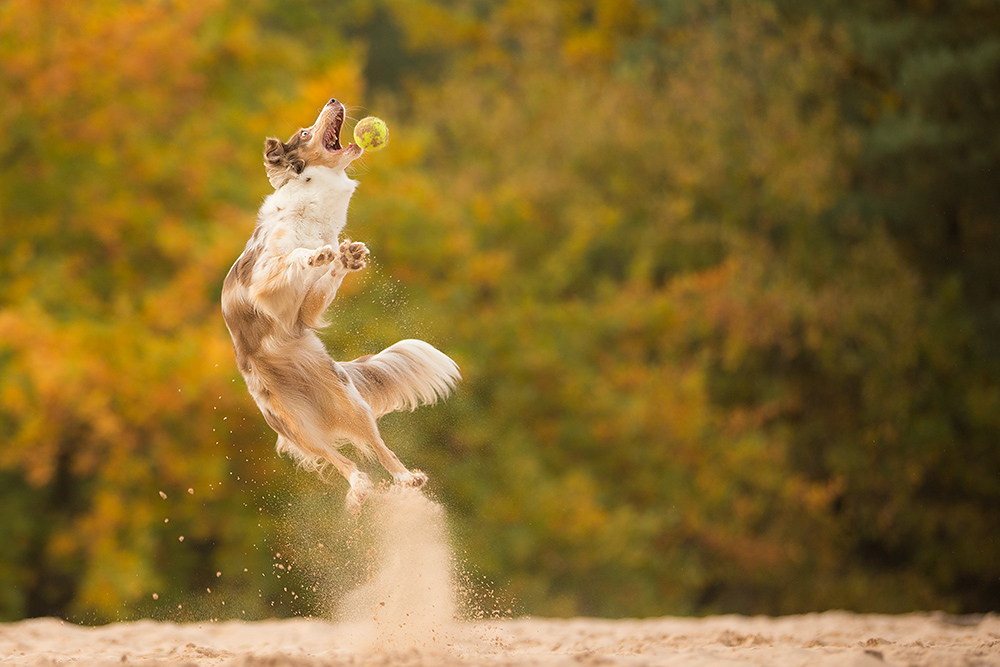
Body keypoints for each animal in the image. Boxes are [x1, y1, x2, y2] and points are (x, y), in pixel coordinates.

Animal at [221, 98, 458, 506]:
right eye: (303, 132)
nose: (332, 100)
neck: (313, 207)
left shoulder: (304, 313)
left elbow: (323, 278)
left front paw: (343, 258)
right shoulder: (263, 282)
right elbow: (294, 256)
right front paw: (317, 254)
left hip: (350, 402)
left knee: (376, 448)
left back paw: (403, 478)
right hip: (295, 424)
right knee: (337, 458)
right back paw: (359, 486)